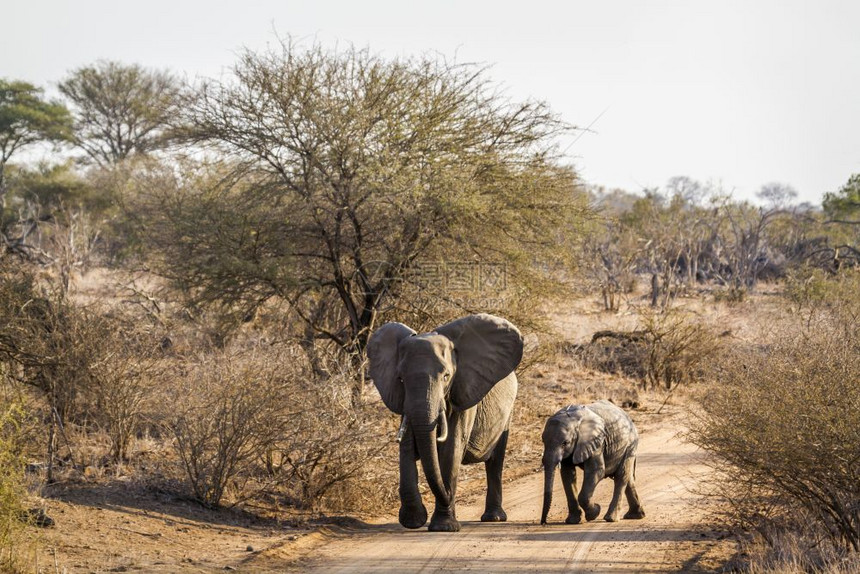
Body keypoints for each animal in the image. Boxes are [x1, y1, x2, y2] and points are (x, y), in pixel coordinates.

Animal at [366, 312, 520, 532]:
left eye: (446, 376)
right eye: (401, 379)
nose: (448, 496)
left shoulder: (464, 394)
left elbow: (451, 448)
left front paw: (443, 527)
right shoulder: (406, 404)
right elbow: (406, 447)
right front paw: (414, 521)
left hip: (508, 412)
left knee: (495, 461)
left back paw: (494, 518)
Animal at [540, 400, 640, 528]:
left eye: (565, 443)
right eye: (543, 441)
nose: (543, 522)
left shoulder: (596, 440)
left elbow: (596, 471)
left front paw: (595, 513)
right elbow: (567, 475)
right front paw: (573, 521)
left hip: (630, 445)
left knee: (621, 476)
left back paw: (611, 518)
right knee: (628, 478)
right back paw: (635, 516)